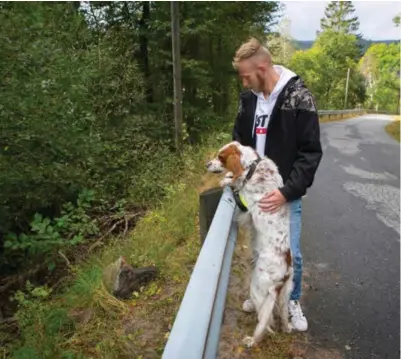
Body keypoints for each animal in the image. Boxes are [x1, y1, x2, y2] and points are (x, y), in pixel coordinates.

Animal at [205, 141, 292, 348]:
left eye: (220, 157)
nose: (206, 164)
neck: (253, 167)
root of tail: (285, 271)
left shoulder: (246, 210)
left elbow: (236, 183)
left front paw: (227, 180)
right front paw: (229, 177)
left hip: (259, 288)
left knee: (266, 322)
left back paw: (252, 340)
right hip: (284, 293)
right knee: (283, 315)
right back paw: (287, 328)